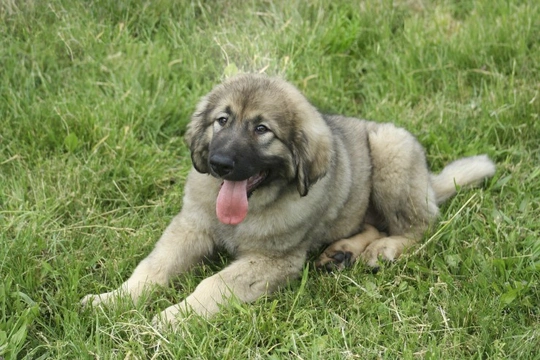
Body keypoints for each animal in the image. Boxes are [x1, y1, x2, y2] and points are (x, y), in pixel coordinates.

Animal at [78, 73, 496, 326]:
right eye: (222, 120)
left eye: (262, 129)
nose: (219, 163)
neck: (252, 207)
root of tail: (428, 179)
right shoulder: (191, 226)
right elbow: (153, 267)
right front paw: (112, 300)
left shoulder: (273, 260)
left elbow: (212, 284)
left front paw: (171, 318)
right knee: (373, 224)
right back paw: (342, 252)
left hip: (391, 151)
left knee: (420, 228)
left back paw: (383, 249)